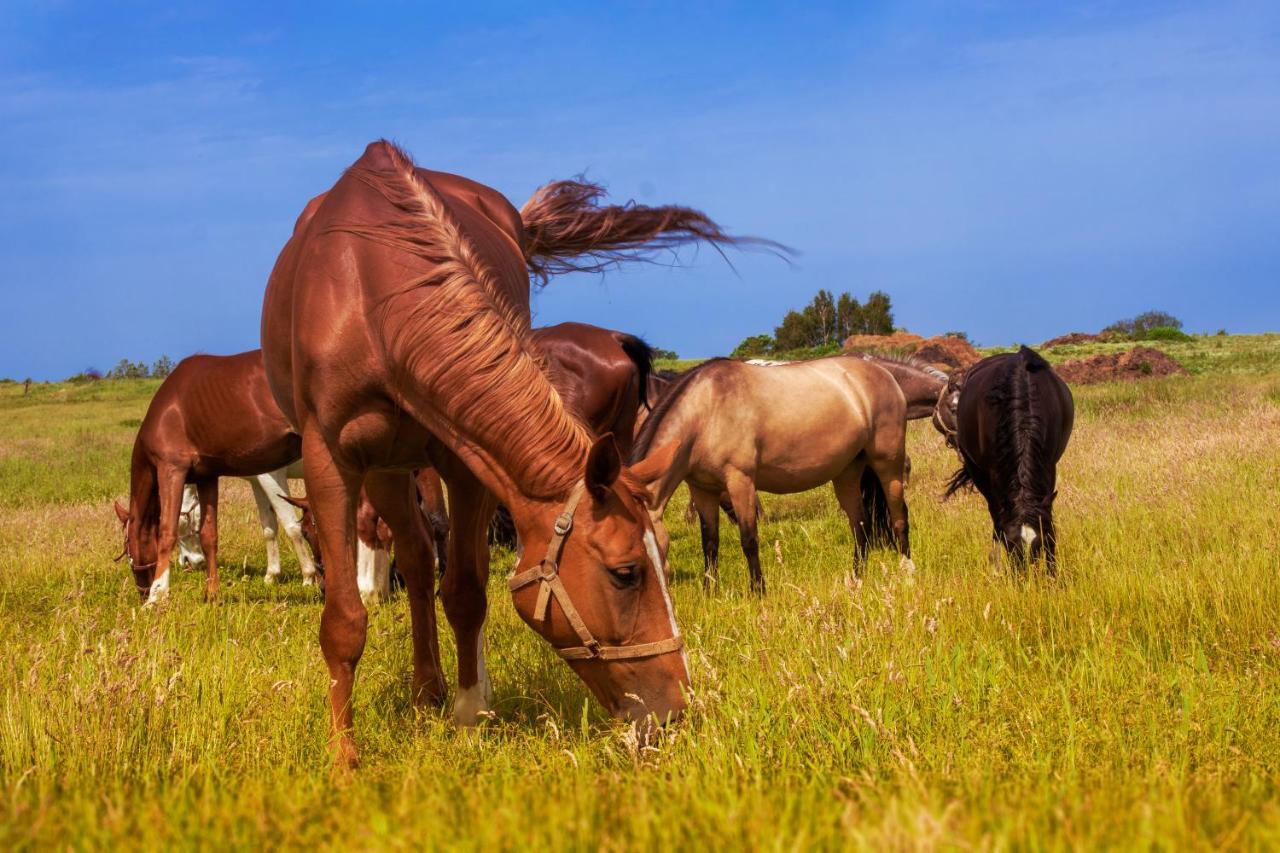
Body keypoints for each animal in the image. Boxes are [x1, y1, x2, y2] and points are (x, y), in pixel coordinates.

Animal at [259, 139, 768, 763]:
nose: (676, 707)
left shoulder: (464, 463)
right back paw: (425, 691)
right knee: (416, 558)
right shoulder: (334, 461)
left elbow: (466, 592)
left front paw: (470, 714)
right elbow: (346, 621)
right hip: (386, 468)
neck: (376, 293)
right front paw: (345, 758)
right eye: (626, 574)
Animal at [629, 350, 911, 591]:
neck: (706, 412)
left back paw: (906, 570)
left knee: (899, 516)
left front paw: (758, 591)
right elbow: (709, 543)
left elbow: (749, 540)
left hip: (889, 465)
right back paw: (856, 579)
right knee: (860, 525)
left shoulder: (740, 481)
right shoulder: (702, 489)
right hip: (847, 473)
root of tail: (884, 374)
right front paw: (710, 592)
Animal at [936, 343, 1075, 571]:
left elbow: (1047, 519)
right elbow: (999, 517)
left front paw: (1052, 572)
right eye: (1011, 544)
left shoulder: (1049, 467)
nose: (1025, 574)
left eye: (1038, 544)